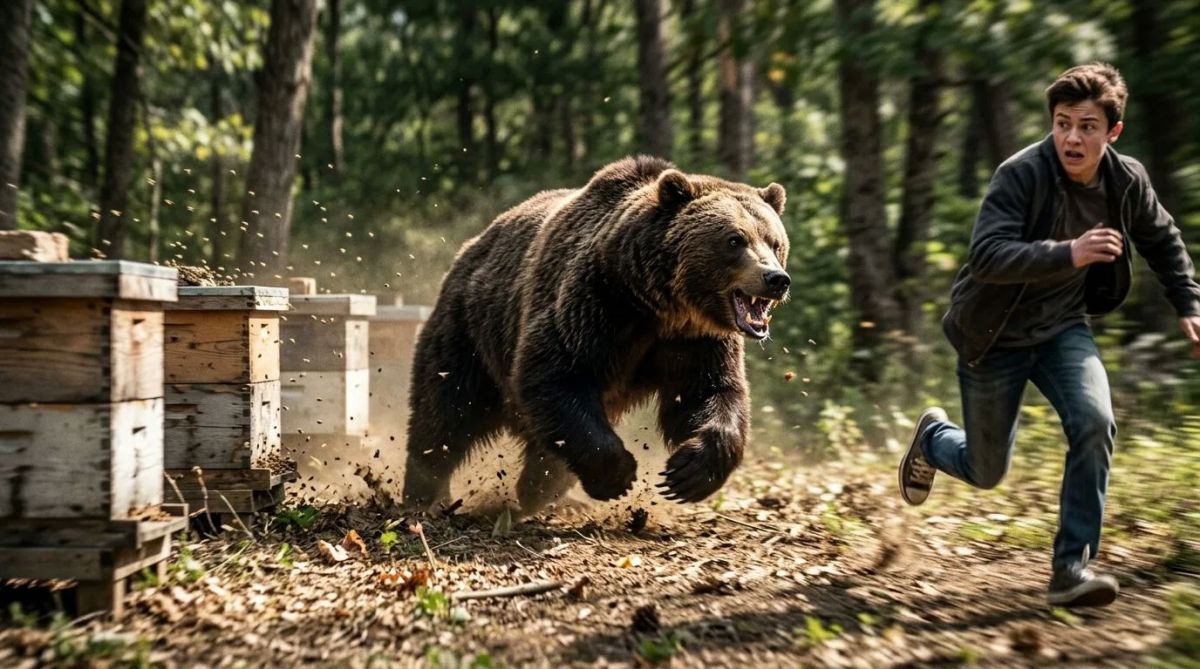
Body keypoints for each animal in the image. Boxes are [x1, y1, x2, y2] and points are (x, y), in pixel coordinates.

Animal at [402, 156, 790, 514]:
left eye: (775, 243)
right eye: (734, 239)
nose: (776, 279)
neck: (662, 307)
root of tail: (473, 244)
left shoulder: (695, 341)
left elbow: (708, 392)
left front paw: (689, 472)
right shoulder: (597, 305)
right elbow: (557, 374)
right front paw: (619, 475)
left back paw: (537, 493)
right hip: (471, 328)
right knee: (445, 409)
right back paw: (423, 493)